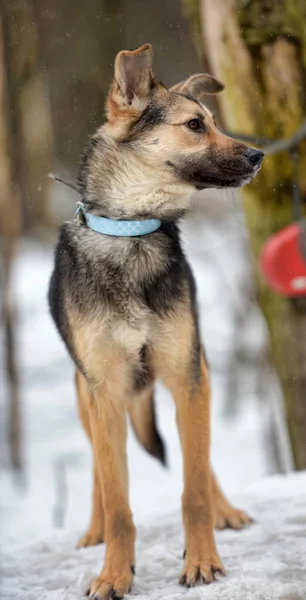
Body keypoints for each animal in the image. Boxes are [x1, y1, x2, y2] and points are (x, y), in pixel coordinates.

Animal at [49, 43, 264, 600]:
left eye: (213, 122)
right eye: (195, 125)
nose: (259, 156)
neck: (133, 234)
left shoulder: (186, 376)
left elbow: (194, 487)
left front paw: (203, 560)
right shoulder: (105, 392)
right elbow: (118, 500)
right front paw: (113, 573)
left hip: (193, 376)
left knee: (200, 462)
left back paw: (227, 511)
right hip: (89, 400)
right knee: (100, 476)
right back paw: (94, 530)